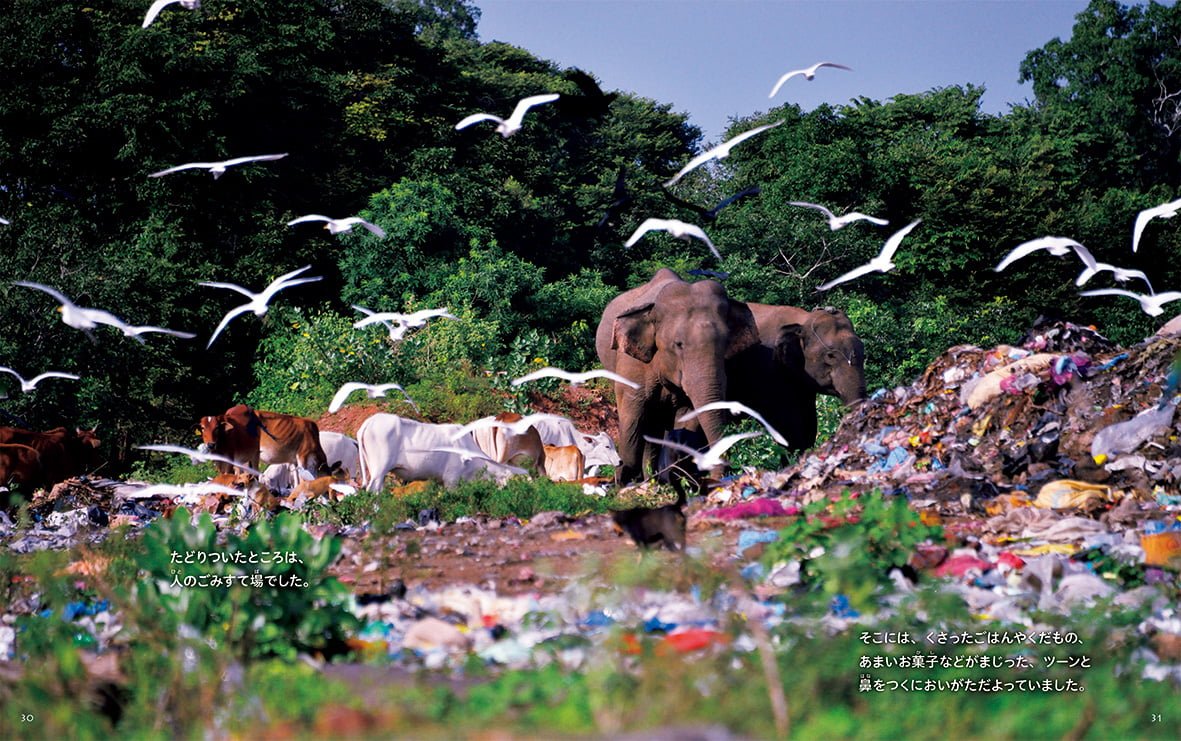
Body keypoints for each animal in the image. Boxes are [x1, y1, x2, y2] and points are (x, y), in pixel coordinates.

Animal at [595, 269, 760, 484]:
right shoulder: (632, 362)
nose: (715, 477)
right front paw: (624, 482)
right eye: (678, 344)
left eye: (725, 343)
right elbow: (633, 413)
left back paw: (654, 480)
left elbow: (686, 416)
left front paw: (679, 479)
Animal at [722, 302, 873, 451]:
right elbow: (789, 429)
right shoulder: (767, 369)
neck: (803, 320)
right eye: (830, 355)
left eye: (863, 349)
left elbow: (808, 426)